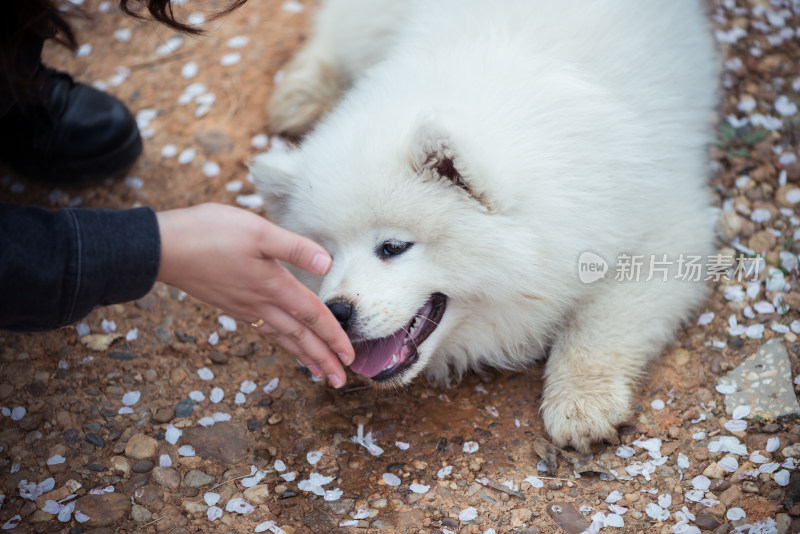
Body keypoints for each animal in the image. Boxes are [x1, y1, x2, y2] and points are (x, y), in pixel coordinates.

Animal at [253, 0, 716, 454]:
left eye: (393, 246)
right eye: (325, 258)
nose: (337, 312)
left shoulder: (662, 226)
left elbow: (599, 323)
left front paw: (581, 402)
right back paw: (300, 92)